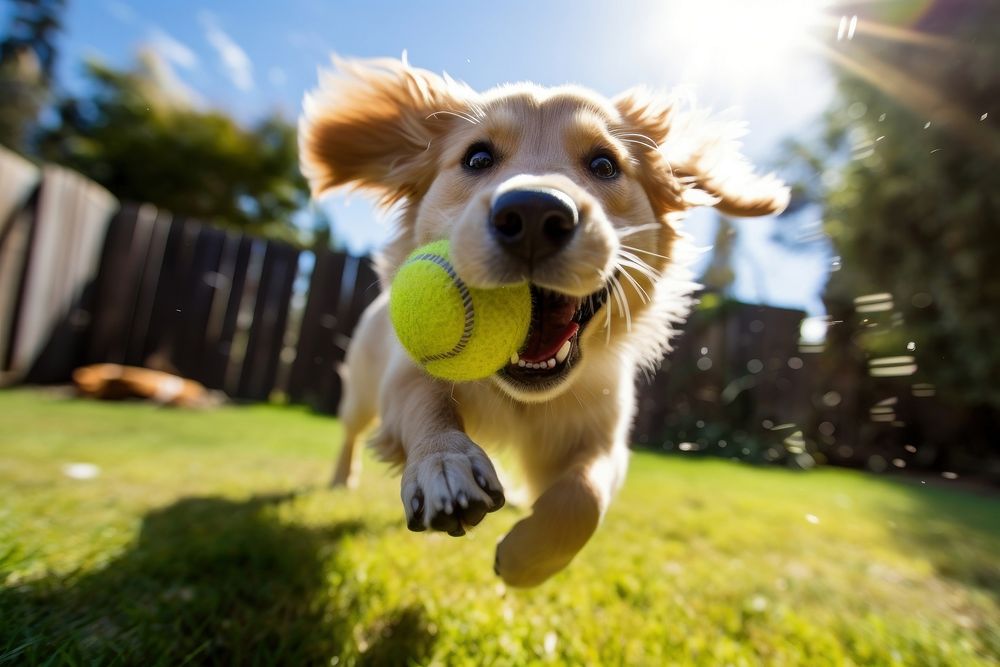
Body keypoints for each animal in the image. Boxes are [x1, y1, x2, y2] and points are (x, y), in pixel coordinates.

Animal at [296, 58, 788, 588]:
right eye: (477, 158)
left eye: (604, 165)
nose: (533, 212)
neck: (518, 397)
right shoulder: (406, 377)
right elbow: (425, 407)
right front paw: (444, 464)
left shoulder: (604, 432)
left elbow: (583, 497)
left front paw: (525, 560)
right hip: (361, 390)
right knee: (350, 431)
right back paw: (342, 478)